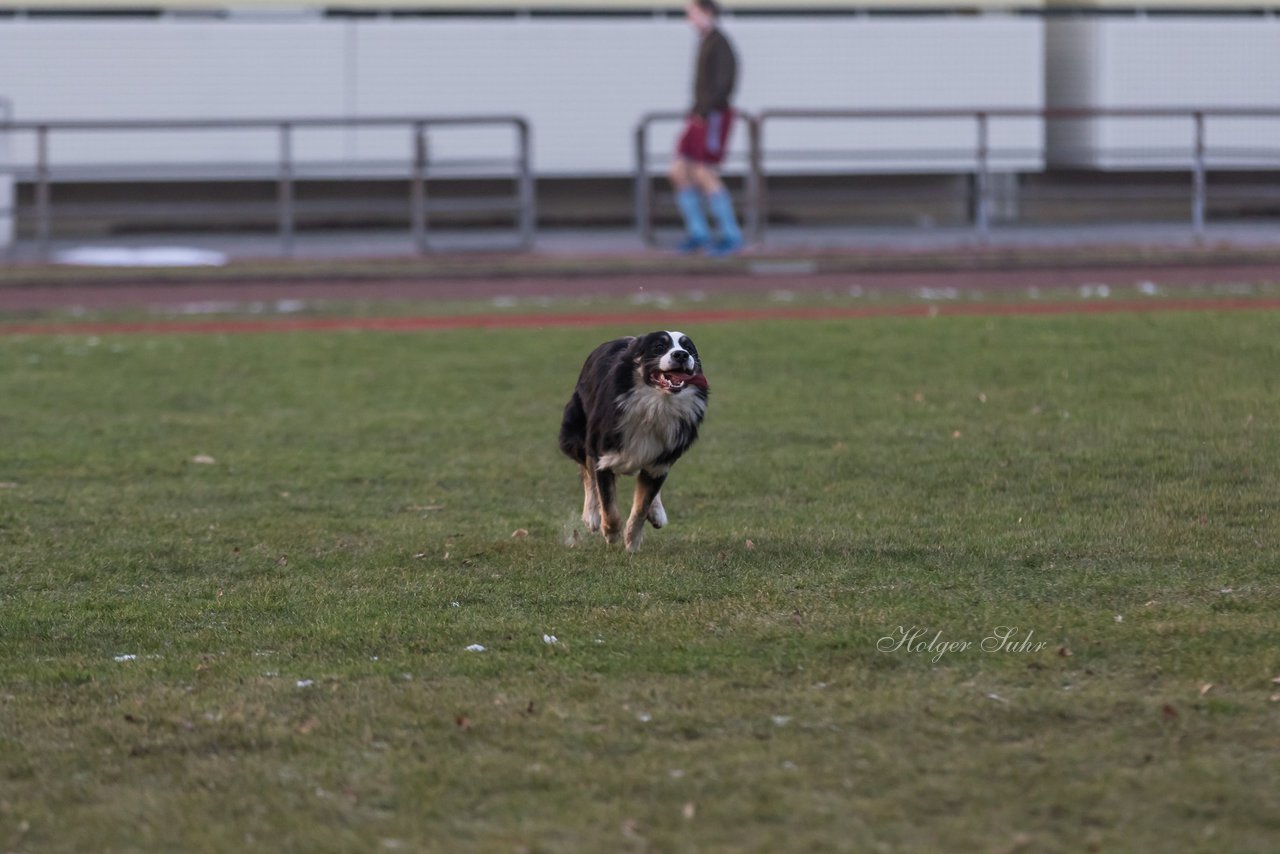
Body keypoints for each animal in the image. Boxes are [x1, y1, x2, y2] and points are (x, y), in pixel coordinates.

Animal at [560, 327, 711, 555]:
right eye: (659, 347)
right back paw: (591, 516)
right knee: (586, 472)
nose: (681, 355)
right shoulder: (603, 457)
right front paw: (611, 533)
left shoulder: (659, 463)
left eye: (689, 348)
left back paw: (656, 512)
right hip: (577, 432)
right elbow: (608, 504)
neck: (655, 405)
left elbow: (641, 506)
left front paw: (632, 542)